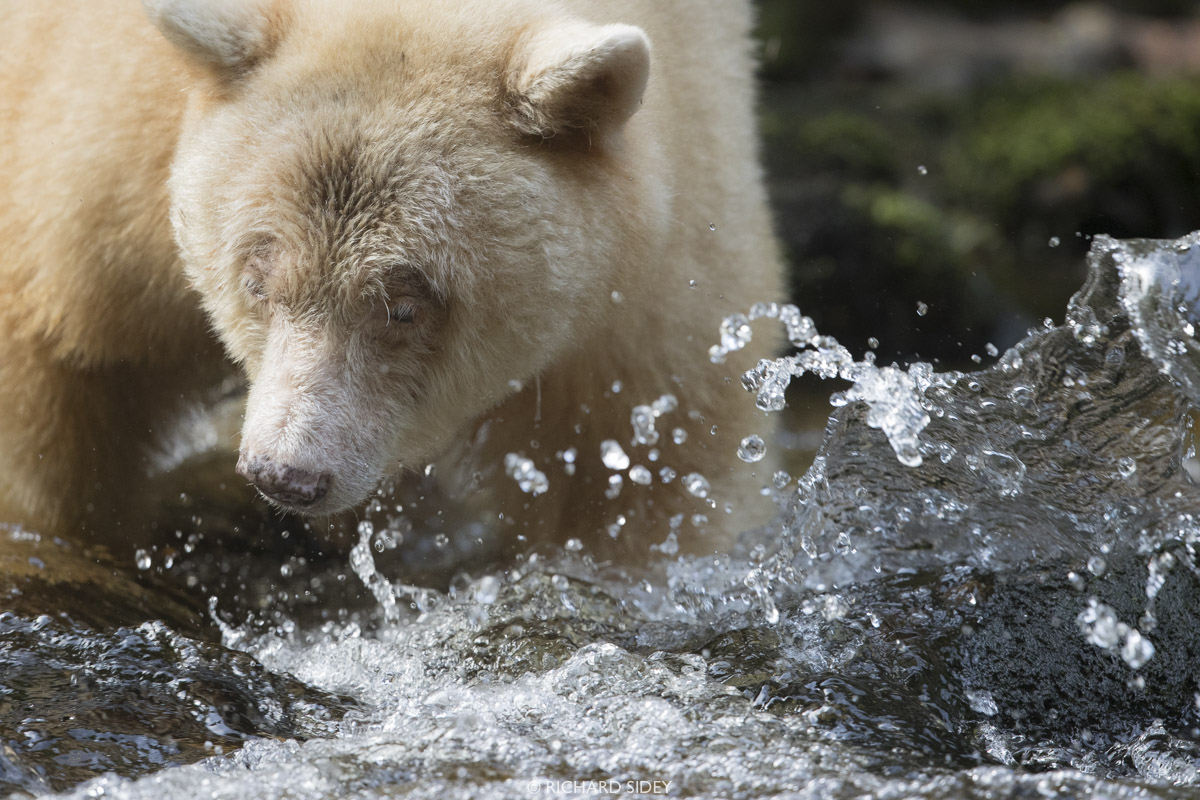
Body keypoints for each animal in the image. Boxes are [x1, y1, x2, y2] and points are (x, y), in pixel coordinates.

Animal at [0, 0, 783, 568]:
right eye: (257, 282)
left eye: (404, 307)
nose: (287, 476)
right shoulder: (103, 168)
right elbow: (62, 366)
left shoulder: (658, 280)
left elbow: (649, 457)